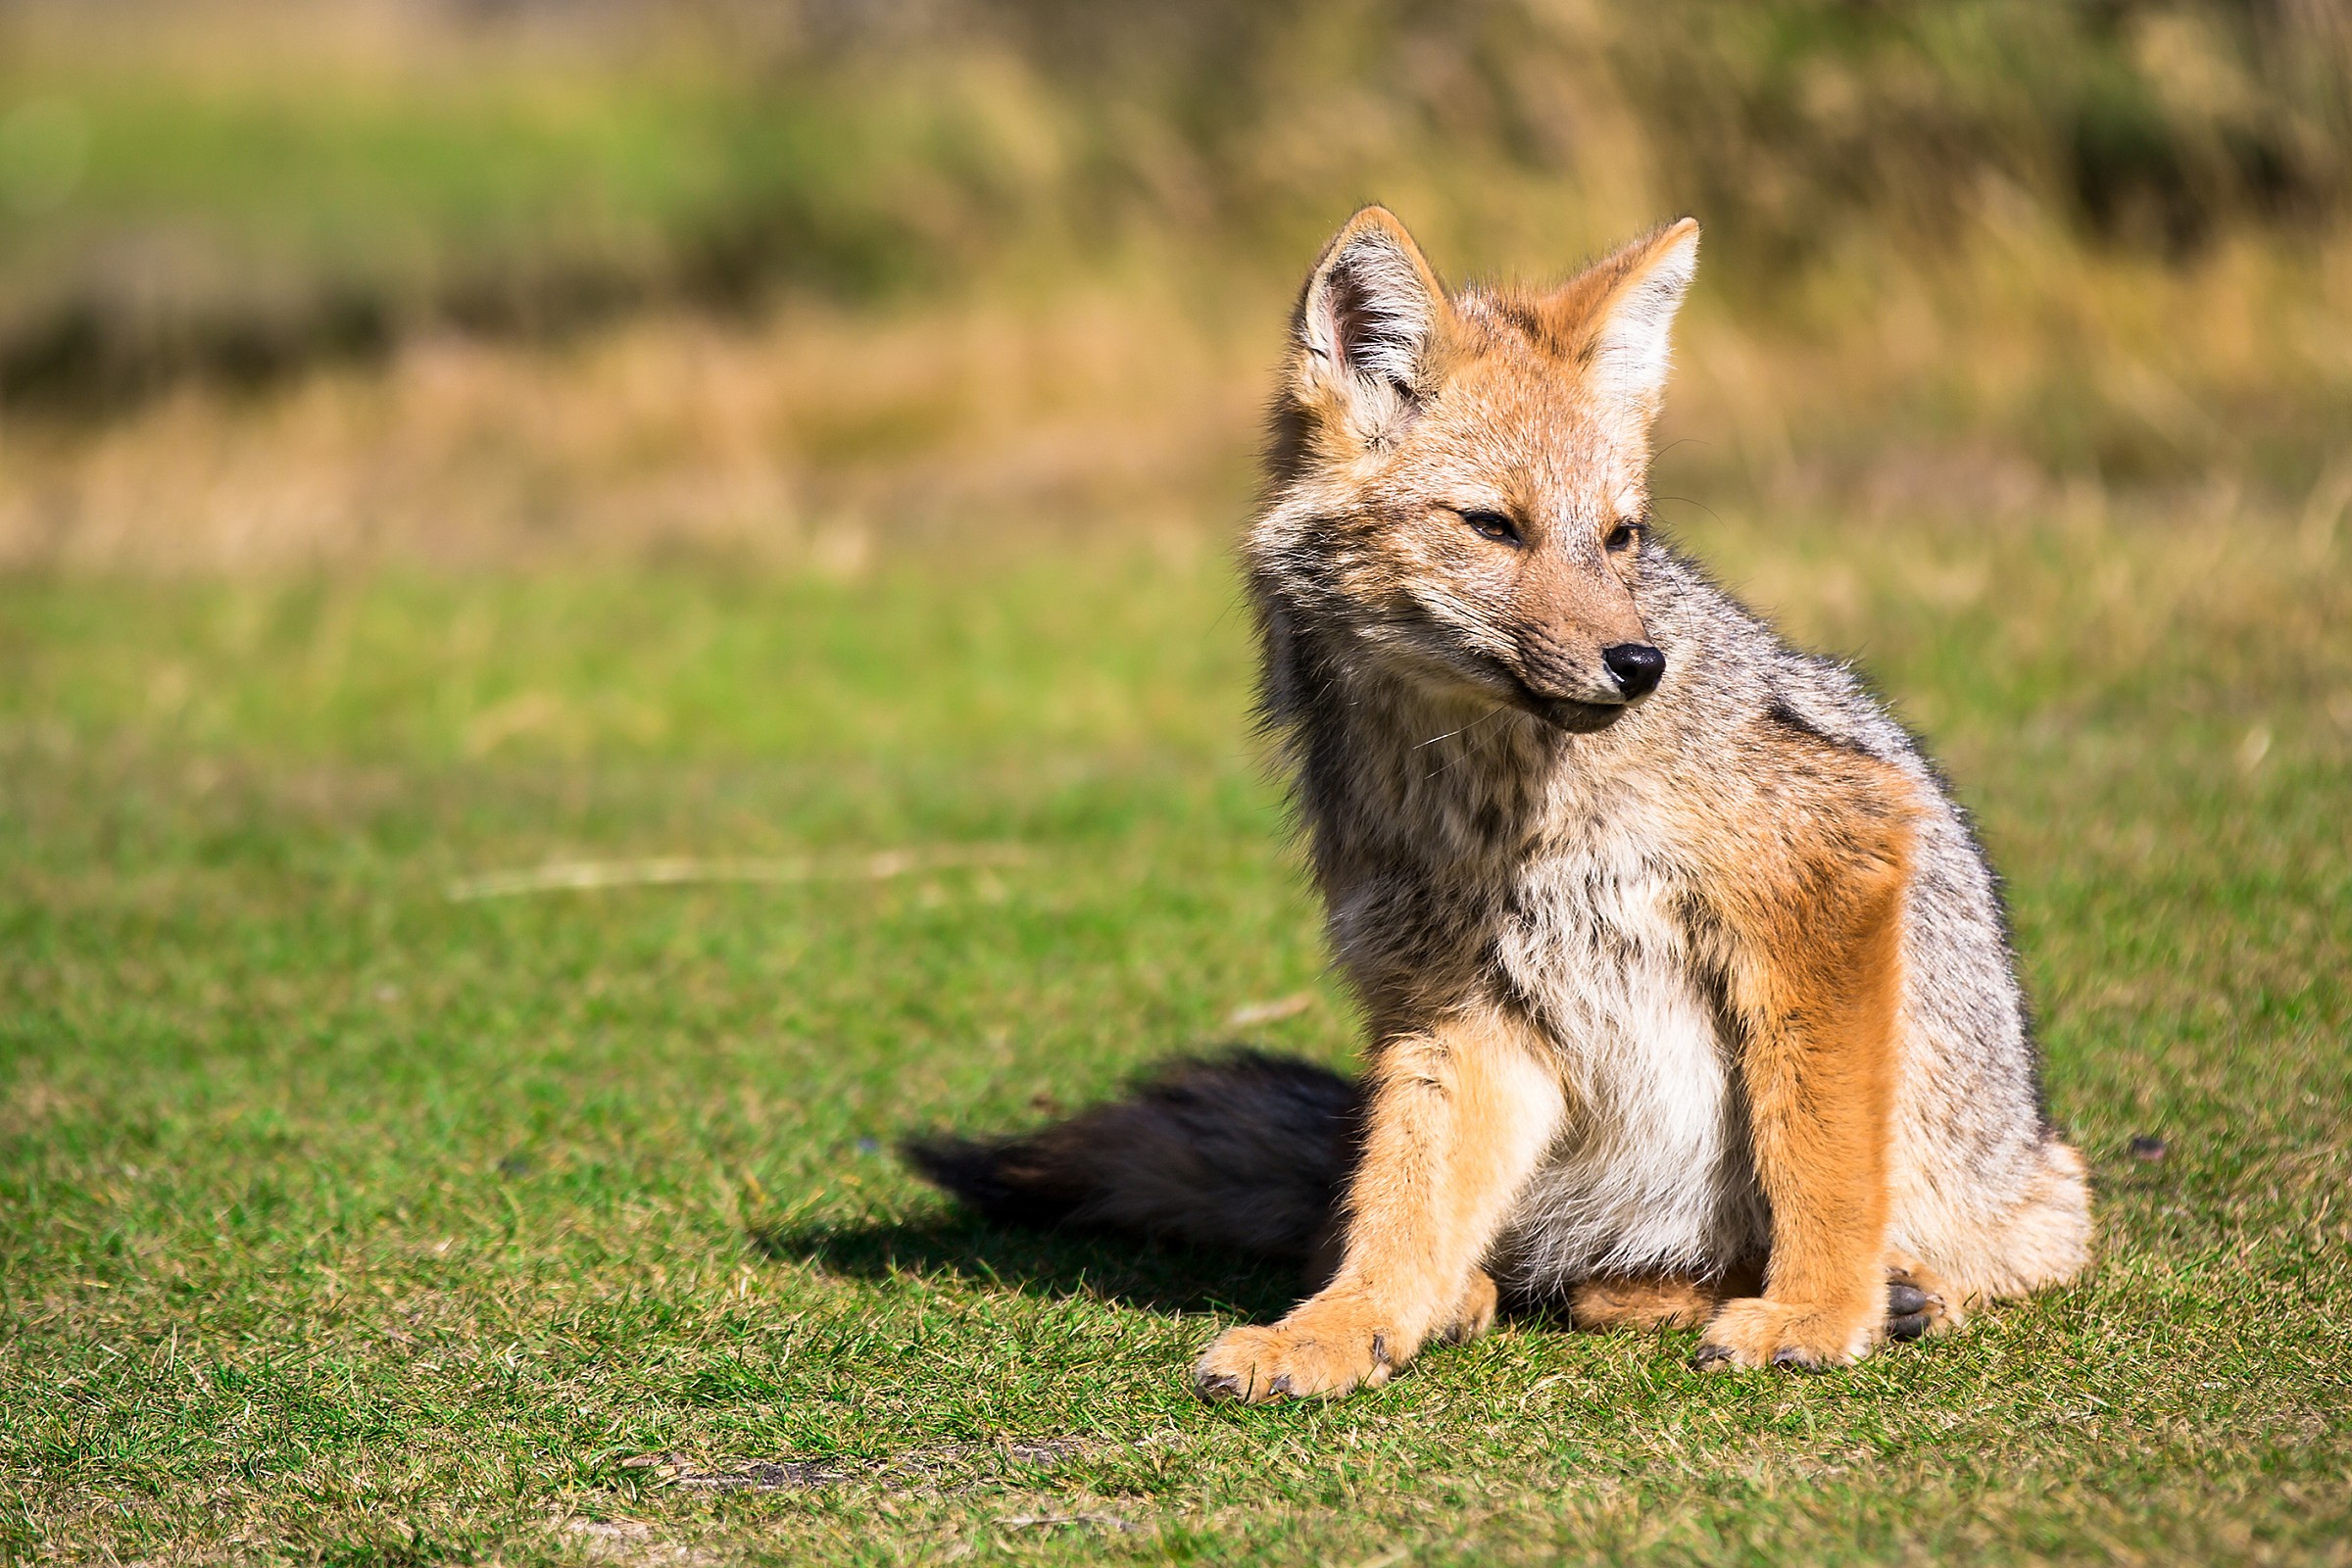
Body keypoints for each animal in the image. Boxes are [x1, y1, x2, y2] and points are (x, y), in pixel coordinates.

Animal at [906, 208, 2092, 1401]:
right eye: (1493, 526)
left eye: (1620, 537)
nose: (1639, 664)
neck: (1490, 793)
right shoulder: (1458, 1003)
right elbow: (1400, 1210)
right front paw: (1341, 1328)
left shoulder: (1832, 848)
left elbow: (1824, 1150)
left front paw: (1818, 1310)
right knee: (1493, 1255)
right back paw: (1480, 1297)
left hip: (2017, 1180)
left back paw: (1892, 1290)